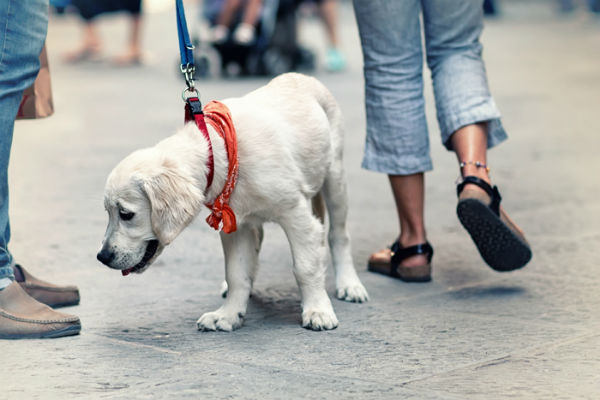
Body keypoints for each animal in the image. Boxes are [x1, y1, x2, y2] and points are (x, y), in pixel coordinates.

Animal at [98, 72, 368, 332]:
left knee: (339, 235)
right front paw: (228, 315)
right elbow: (237, 273)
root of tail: (303, 76)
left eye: (126, 214)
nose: (102, 257)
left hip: (335, 178)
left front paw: (317, 310)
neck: (221, 152)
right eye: (108, 213)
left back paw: (349, 284)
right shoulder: (234, 224)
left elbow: (305, 266)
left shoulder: (296, 215)